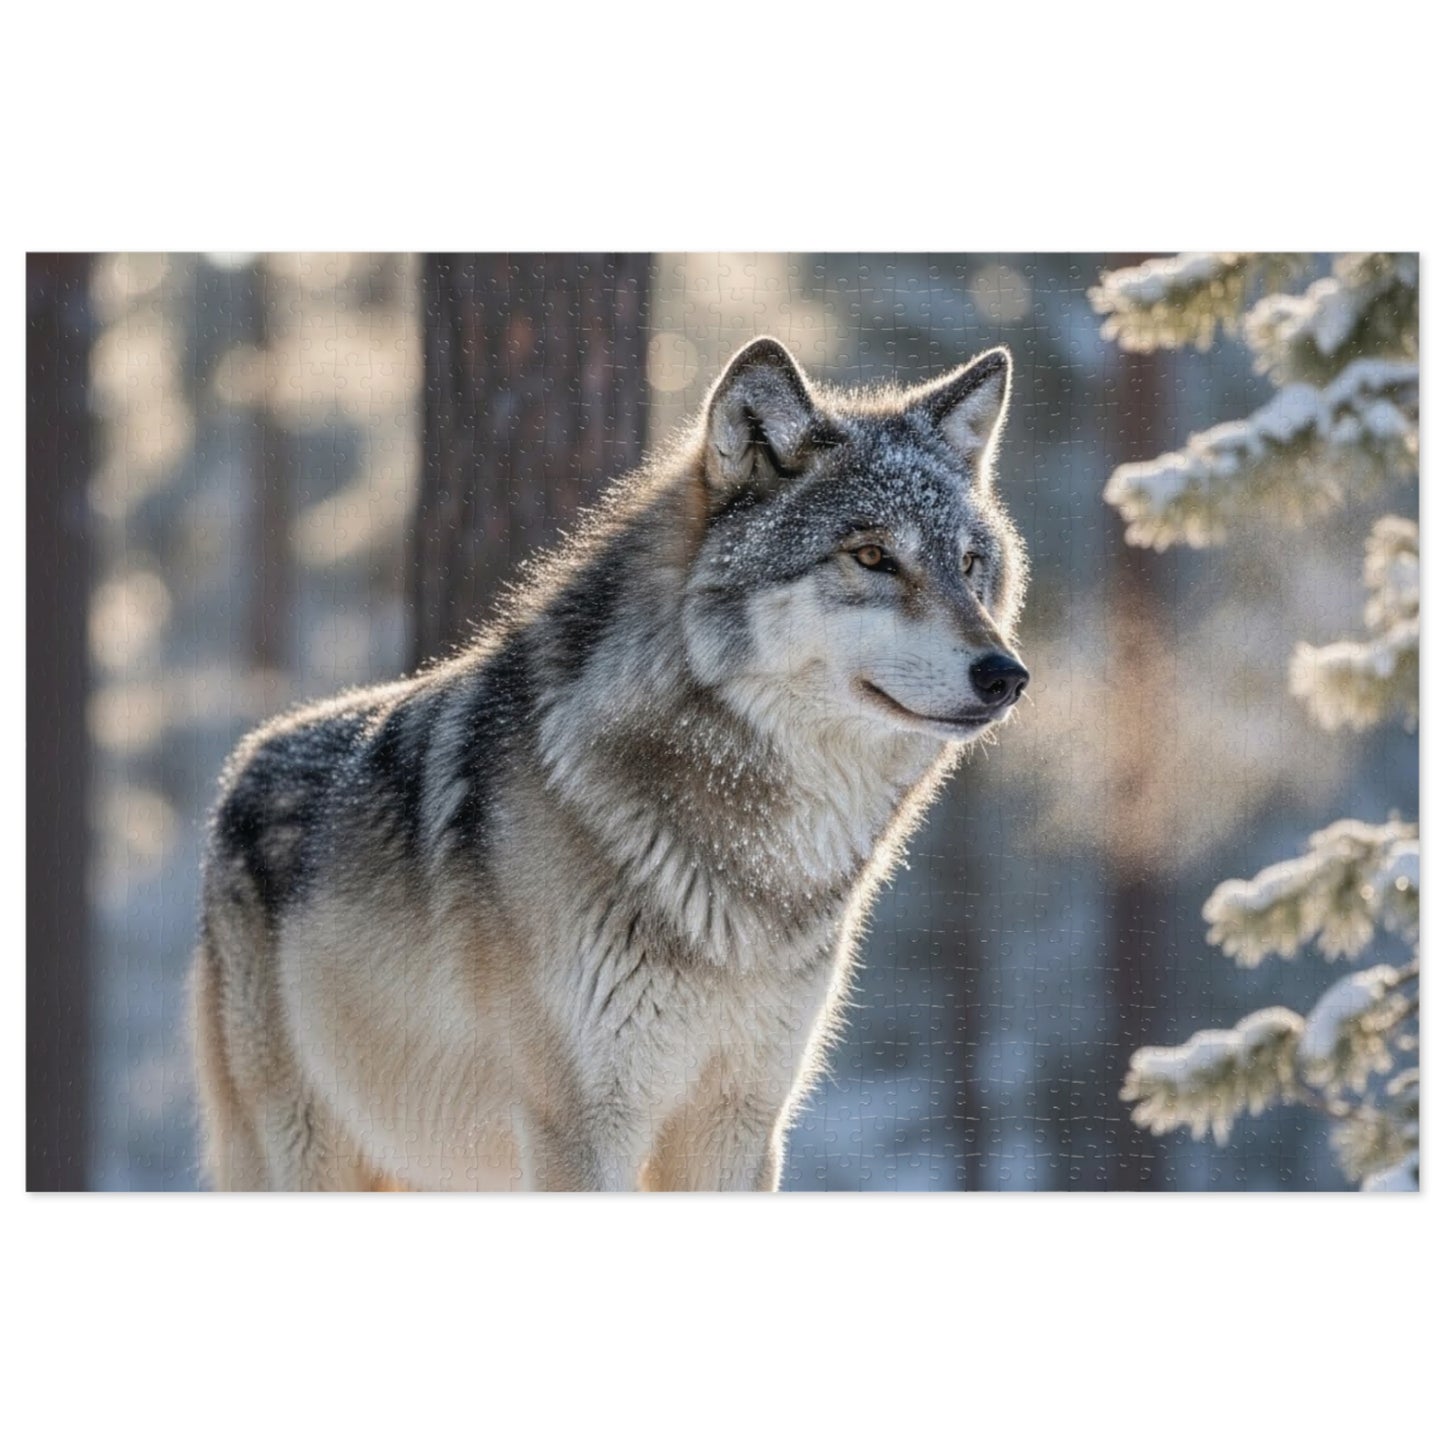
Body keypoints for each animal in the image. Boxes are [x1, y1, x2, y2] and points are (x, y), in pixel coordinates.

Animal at [191, 335, 1030, 1190]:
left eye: (969, 564)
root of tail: (246, 759)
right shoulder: (582, 1128)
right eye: (871, 556)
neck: (755, 869)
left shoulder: (739, 1124)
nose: (1005, 674)